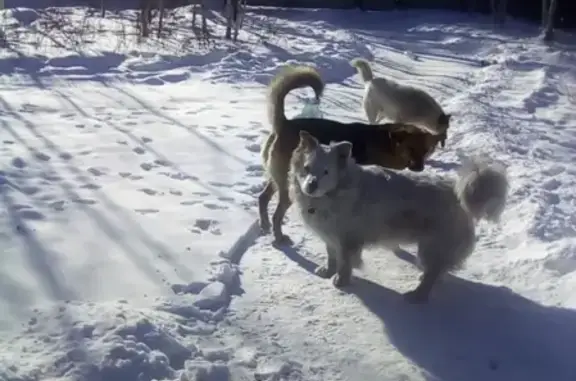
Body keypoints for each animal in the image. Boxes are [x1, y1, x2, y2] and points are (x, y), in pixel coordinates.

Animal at [258, 65, 448, 243]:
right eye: (411, 149)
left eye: (426, 151)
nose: (420, 168)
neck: (390, 143)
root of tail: (284, 123)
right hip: (288, 186)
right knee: (277, 214)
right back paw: (279, 236)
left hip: (278, 178)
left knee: (263, 198)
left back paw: (265, 225)